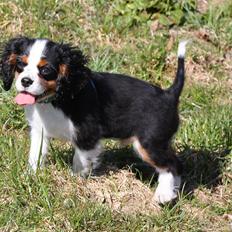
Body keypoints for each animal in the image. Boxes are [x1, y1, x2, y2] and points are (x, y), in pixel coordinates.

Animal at [0, 37, 188, 204]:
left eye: (45, 70)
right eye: (20, 64)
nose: (25, 81)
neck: (56, 99)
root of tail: (169, 95)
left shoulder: (86, 135)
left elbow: (80, 161)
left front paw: (75, 181)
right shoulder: (40, 131)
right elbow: (35, 156)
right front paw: (31, 176)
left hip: (150, 143)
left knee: (172, 165)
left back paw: (164, 195)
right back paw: (174, 192)